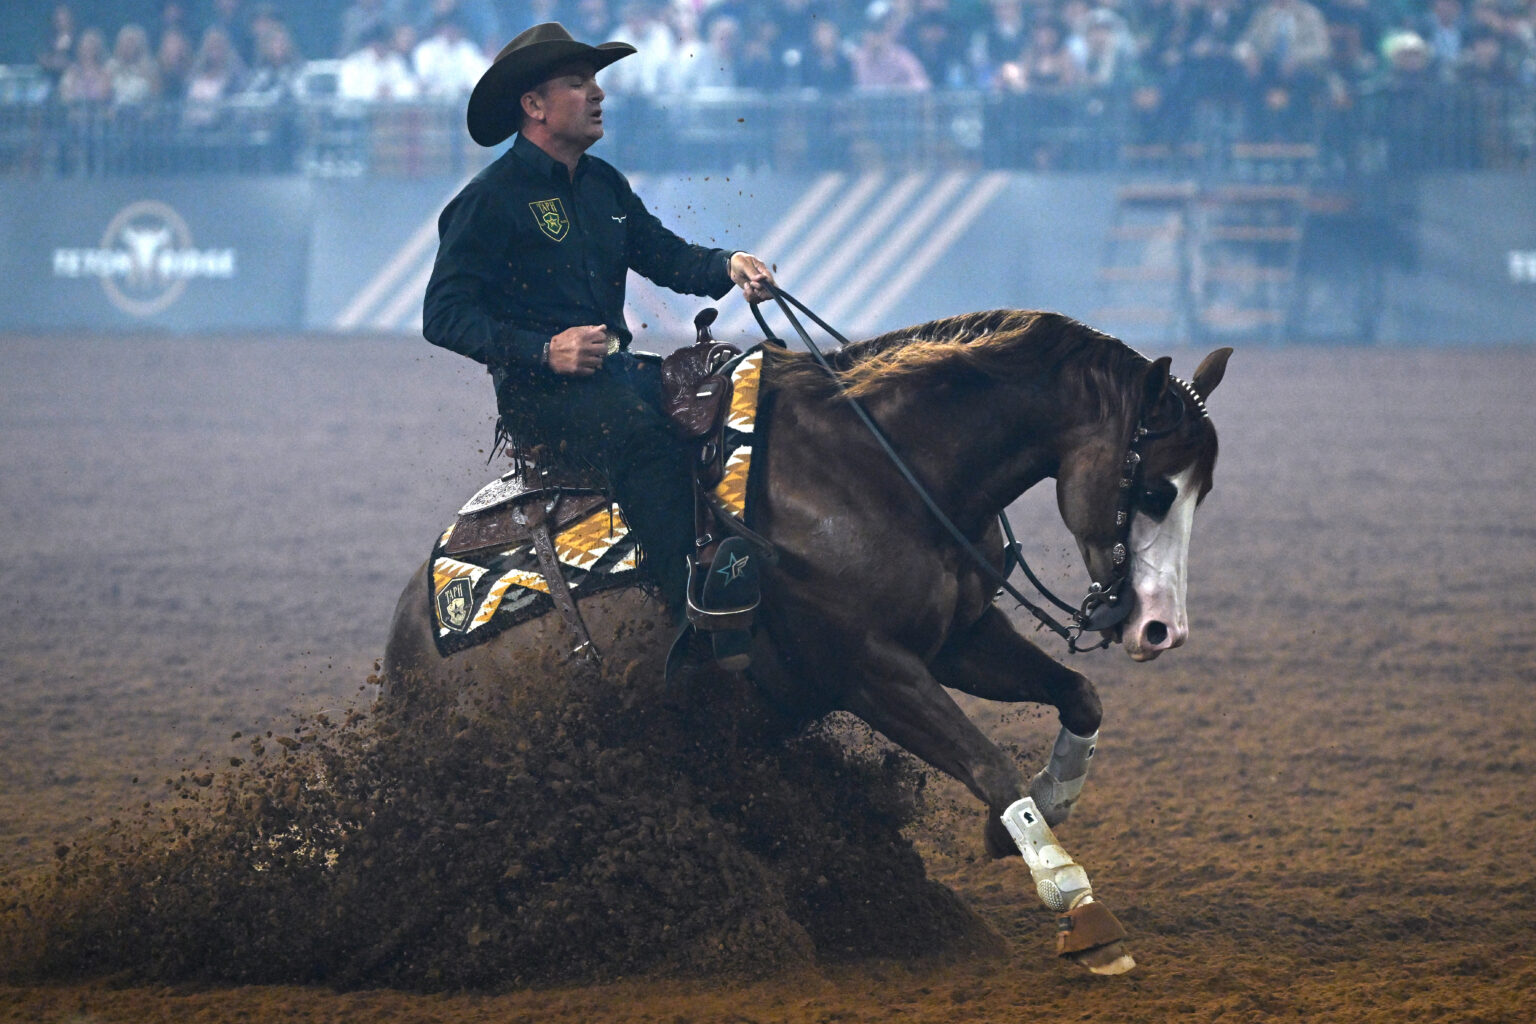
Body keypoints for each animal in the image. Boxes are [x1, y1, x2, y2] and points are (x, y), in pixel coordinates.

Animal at [387, 308, 1234, 976]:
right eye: (1154, 489)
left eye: (1204, 491)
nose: (1162, 628)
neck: (883, 469)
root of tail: (408, 644)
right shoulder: (870, 670)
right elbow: (987, 763)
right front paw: (1077, 903)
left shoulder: (959, 637)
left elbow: (1078, 697)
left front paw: (1042, 805)